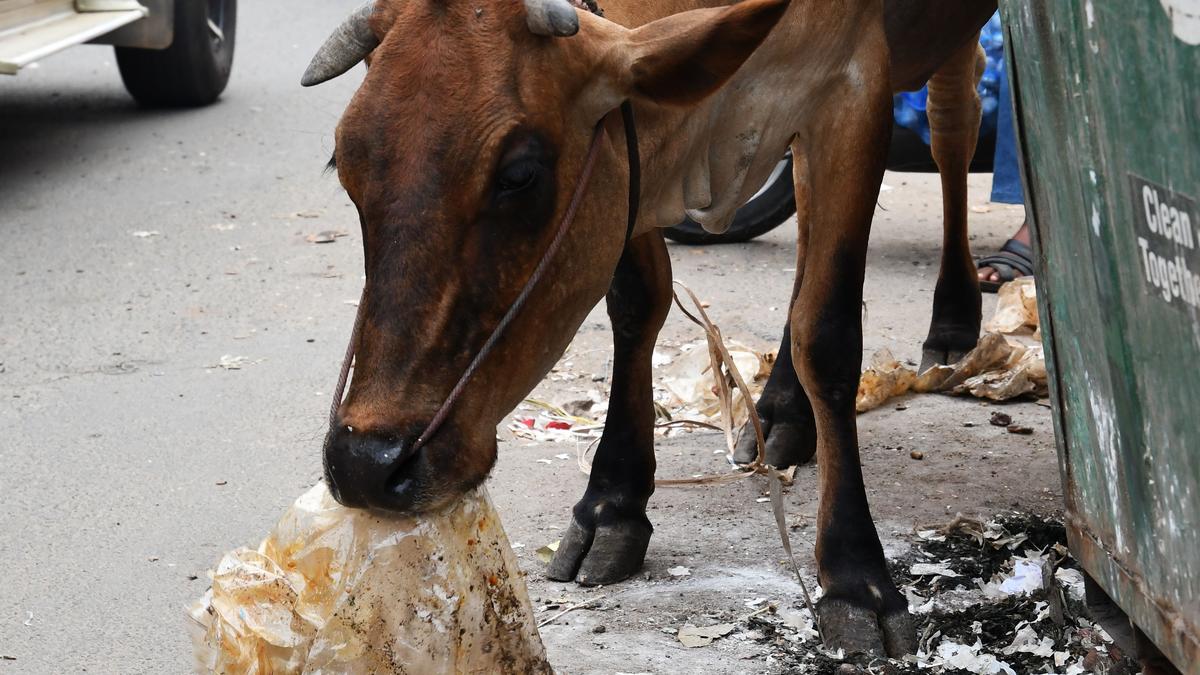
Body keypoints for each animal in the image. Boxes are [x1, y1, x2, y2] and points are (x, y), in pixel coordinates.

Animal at [307, 0, 993, 653]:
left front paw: (856, 580)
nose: (366, 462)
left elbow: (826, 333)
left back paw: (953, 320)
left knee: (954, 123)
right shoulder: (630, 161)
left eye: (519, 175)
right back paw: (780, 414)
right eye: (344, 165)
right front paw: (614, 503)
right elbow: (637, 301)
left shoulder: (855, 91)